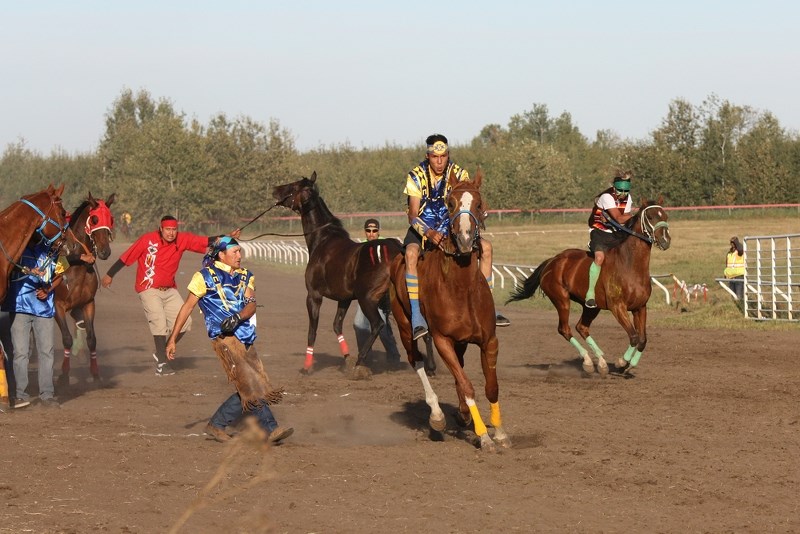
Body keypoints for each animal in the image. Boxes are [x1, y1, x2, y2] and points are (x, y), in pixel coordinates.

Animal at [55, 195, 115, 384]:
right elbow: (66, 339)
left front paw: (95, 374)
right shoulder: (57, 306)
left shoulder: (88, 303)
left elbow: (92, 339)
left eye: (110, 219)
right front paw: (64, 375)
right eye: (95, 219)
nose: (104, 252)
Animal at [390, 170, 512, 454]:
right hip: (404, 324)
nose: (466, 238)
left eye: (479, 203)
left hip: (462, 341)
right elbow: (467, 386)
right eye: (451, 203)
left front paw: (499, 432)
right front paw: (484, 437)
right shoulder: (442, 339)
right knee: (416, 360)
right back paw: (437, 415)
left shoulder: (488, 340)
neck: (461, 288)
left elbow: (491, 386)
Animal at [506, 198, 668, 376]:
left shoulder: (640, 307)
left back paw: (601, 363)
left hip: (592, 307)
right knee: (565, 329)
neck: (630, 266)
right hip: (561, 300)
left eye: (665, 215)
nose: (666, 240)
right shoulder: (617, 307)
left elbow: (642, 339)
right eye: (651, 217)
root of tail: (552, 261)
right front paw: (621, 362)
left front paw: (630, 364)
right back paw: (588, 361)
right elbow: (633, 336)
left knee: (582, 327)